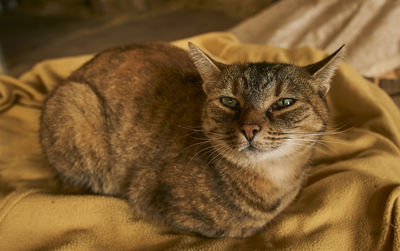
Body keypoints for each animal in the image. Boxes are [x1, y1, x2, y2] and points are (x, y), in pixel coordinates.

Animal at [39, 41, 342, 237]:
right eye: (229, 101)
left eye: (285, 103)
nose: (249, 129)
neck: (273, 180)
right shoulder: (149, 197)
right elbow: (232, 229)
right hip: (76, 102)